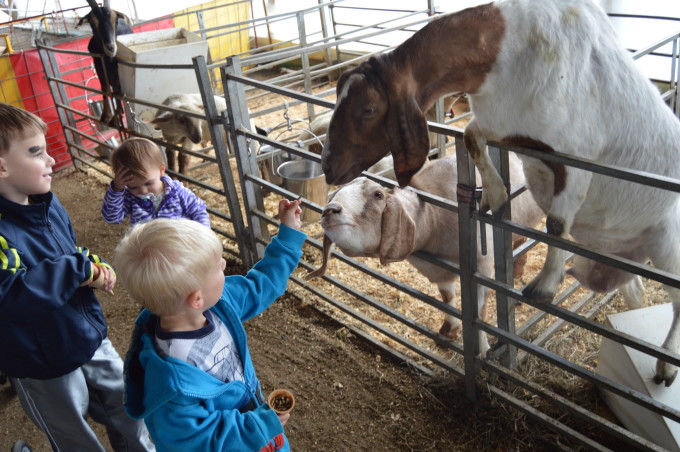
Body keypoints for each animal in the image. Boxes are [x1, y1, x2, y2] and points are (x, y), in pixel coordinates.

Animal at [306, 154, 544, 354]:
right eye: (335, 194)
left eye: (378, 194)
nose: (330, 211)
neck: (434, 218)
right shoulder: (440, 270)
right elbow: (447, 298)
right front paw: (449, 331)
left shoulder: (482, 266)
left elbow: (480, 311)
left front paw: (483, 349)